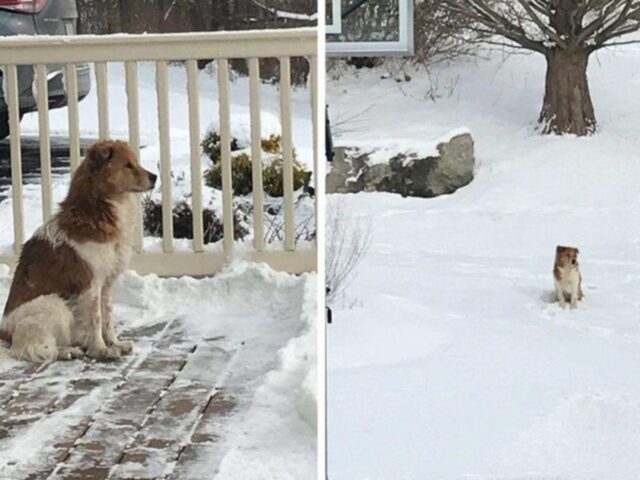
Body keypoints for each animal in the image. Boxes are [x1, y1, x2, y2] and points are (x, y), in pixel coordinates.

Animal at [0, 141, 156, 362]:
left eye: (135, 163)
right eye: (128, 165)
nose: (155, 177)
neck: (97, 211)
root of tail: (4, 335)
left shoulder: (107, 283)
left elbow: (108, 316)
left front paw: (114, 343)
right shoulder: (91, 284)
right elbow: (96, 319)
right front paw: (101, 349)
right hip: (53, 304)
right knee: (29, 349)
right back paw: (67, 351)